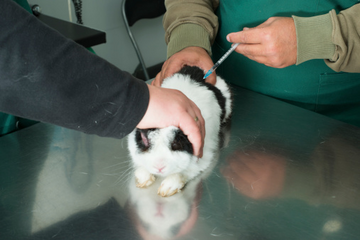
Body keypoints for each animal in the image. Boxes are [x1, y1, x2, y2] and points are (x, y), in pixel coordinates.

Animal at [128, 65, 232, 197]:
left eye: (176, 143)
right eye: (144, 139)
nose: (159, 167)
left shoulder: (203, 156)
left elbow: (183, 173)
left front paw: (166, 189)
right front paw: (143, 180)